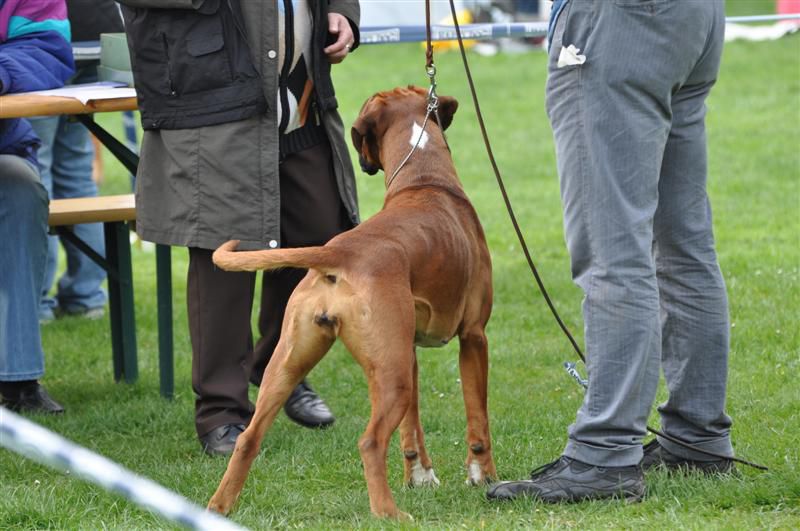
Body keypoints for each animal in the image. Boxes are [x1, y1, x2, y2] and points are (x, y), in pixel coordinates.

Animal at [206, 86, 496, 520]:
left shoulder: (408, 352)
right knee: (371, 441)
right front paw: (483, 476)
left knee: (249, 438)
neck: (424, 178)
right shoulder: (474, 338)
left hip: (295, 366)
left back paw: (218, 507)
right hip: (392, 380)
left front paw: (420, 478)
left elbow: (412, 430)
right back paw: (389, 513)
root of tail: (338, 254)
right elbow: (478, 417)